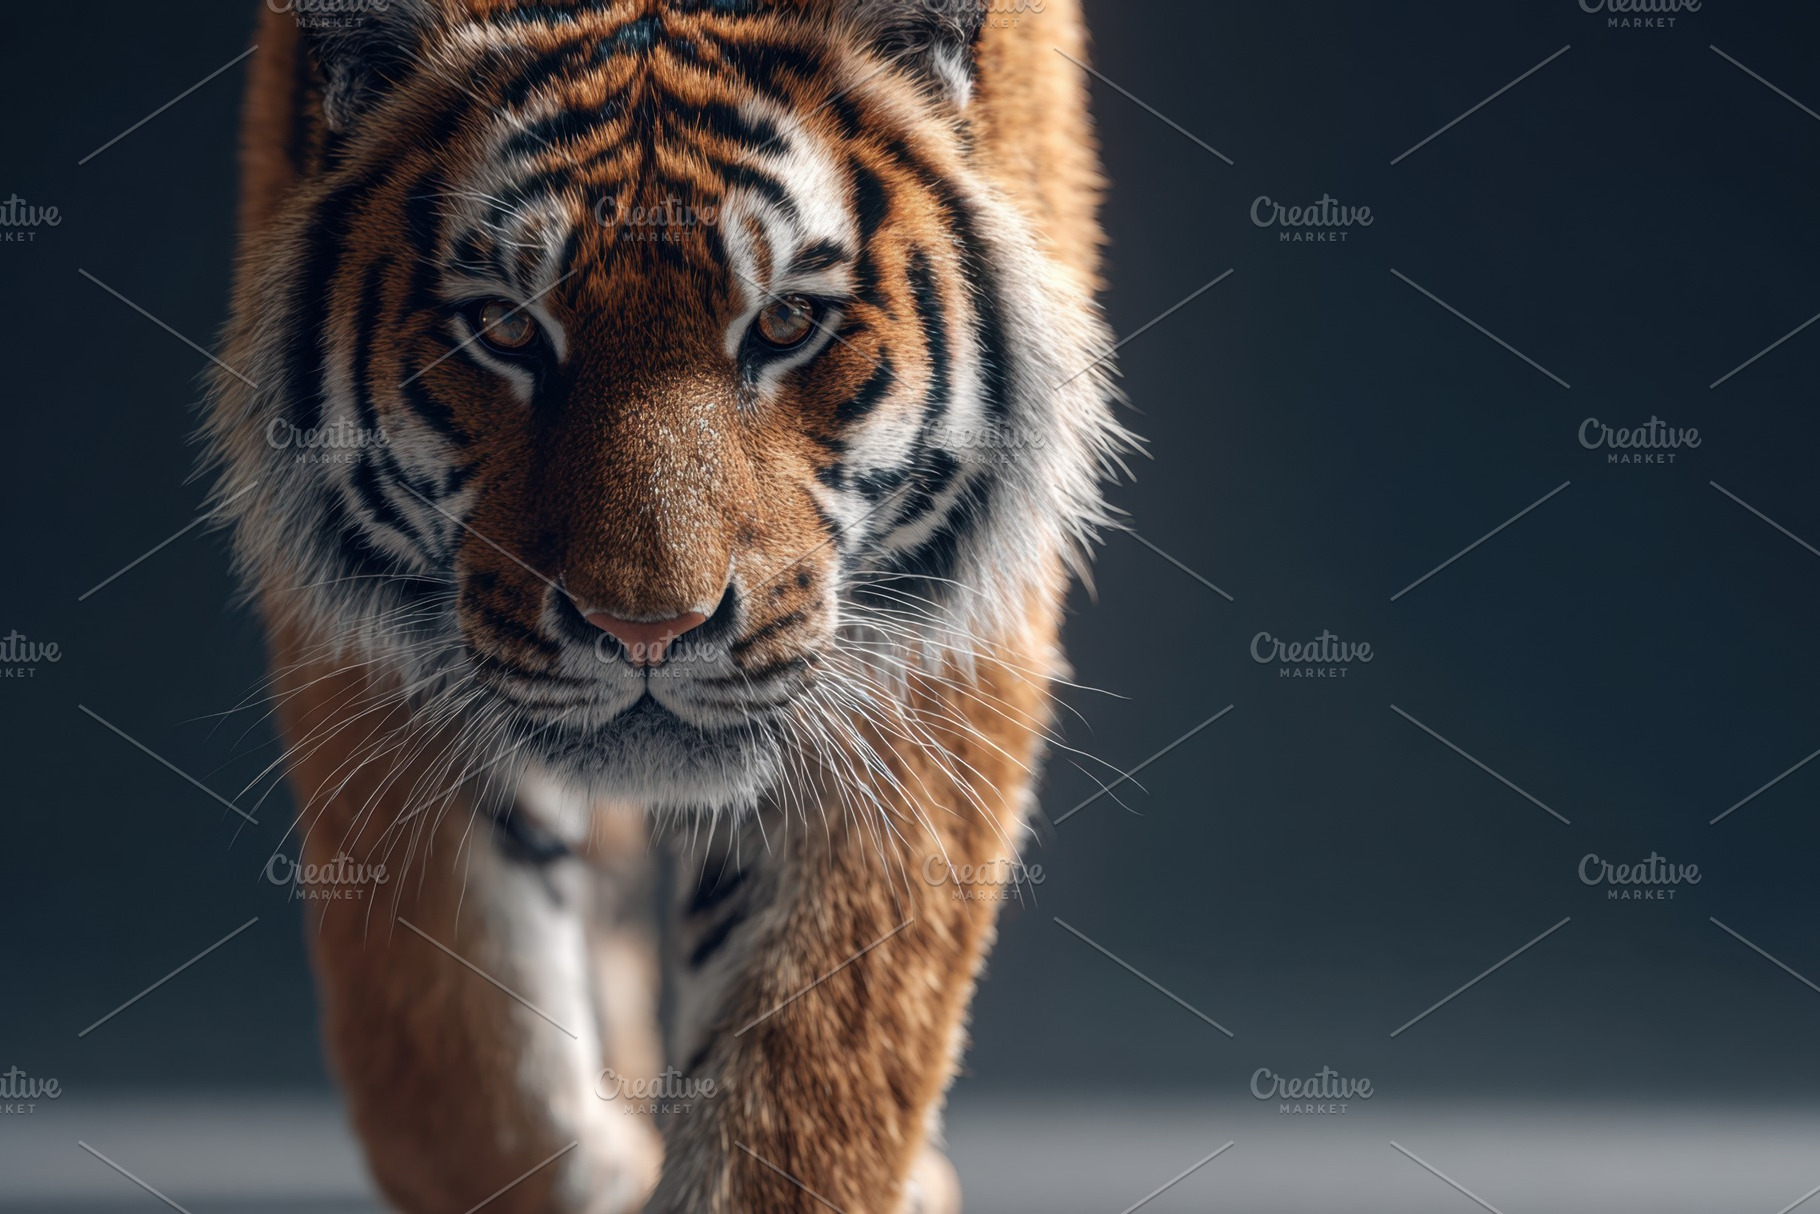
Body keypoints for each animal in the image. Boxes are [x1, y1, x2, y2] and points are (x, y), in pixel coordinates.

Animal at [206, 1, 1125, 1210]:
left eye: (785, 322)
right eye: (505, 329)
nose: (647, 630)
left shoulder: (928, 650)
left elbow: (810, 1074)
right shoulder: (369, 656)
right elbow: (461, 1072)